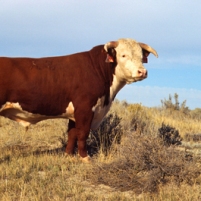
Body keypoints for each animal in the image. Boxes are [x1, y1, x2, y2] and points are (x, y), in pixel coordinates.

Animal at [0, 38, 158, 160]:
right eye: (123, 55)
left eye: (141, 57)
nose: (142, 72)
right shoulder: (85, 109)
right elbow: (82, 134)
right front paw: (85, 158)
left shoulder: (74, 113)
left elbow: (72, 134)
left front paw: (69, 155)